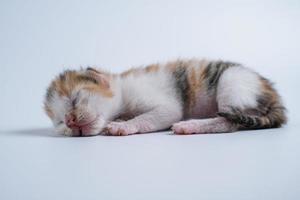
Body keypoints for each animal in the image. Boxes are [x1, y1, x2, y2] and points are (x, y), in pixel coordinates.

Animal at [44, 57, 286, 136]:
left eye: (74, 99)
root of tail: (274, 95)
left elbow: (154, 116)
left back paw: (190, 126)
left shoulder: (160, 103)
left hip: (232, 81)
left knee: (228, 122)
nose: (70, 120)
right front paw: (120, 121)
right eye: (60, 123)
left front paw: (124, 126)